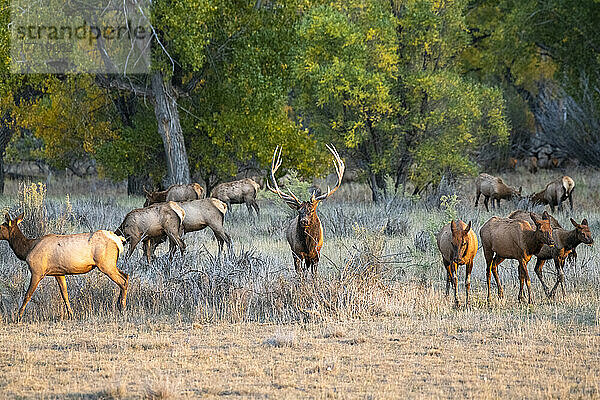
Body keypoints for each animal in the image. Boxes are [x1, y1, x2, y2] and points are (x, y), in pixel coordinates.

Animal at [268, 144, 344, 276]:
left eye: (312, 210)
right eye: (299, 211)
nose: (304, 221)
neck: (308, 245)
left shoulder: (317, 254)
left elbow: (314, 275)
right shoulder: (297, 253)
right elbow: (300, 274)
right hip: (293, 251)